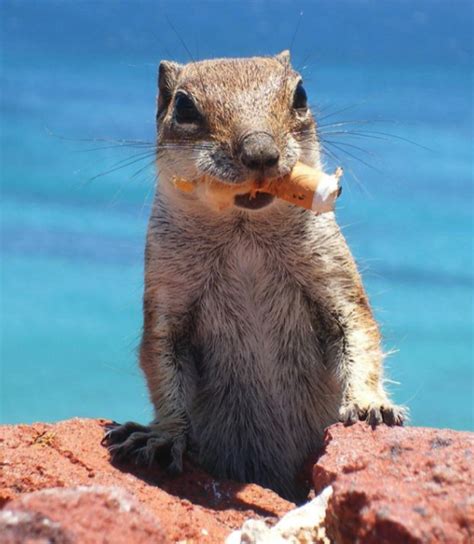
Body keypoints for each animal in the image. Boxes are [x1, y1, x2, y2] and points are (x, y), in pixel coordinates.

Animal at [105, 51, 406, 502]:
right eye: (184, 107)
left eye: (301, 94)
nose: (260, 151)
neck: (243, 231)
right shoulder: (166, 298)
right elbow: (160, 360)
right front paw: (163, 433)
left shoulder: (335, 281)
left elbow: (360, 334)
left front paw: (371, 403)